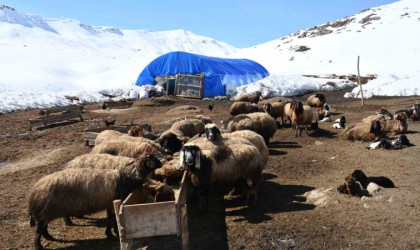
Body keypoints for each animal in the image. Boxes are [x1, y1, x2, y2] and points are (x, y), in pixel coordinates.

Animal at [27, 157, 159, 249]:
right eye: (153, 159)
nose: (163, 162)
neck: (130, 179)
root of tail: (34, 192)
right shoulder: (113, 203)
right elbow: (113, 219)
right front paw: (115, 233)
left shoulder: (109, 204)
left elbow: (110, 219)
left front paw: (110, 233)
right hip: (47, 210)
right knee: (39, 229)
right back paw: (38, 245)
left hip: (46, 211)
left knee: (43, 226)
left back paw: (49, 237)